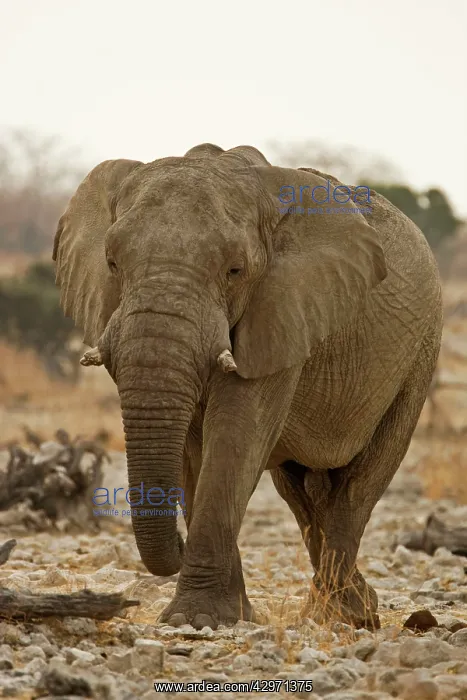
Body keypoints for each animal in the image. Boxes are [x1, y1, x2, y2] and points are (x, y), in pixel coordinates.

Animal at [52, 142, 442, 630]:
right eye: (112, 264)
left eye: (235, 270)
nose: (176, 545)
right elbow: (193, 451)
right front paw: (223, 617)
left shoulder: (281, 309)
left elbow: (236, 432)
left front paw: (199, 619)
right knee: (300, 495)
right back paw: (345, 606)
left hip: (421, 351)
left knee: (359, 484)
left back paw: (343, 616)